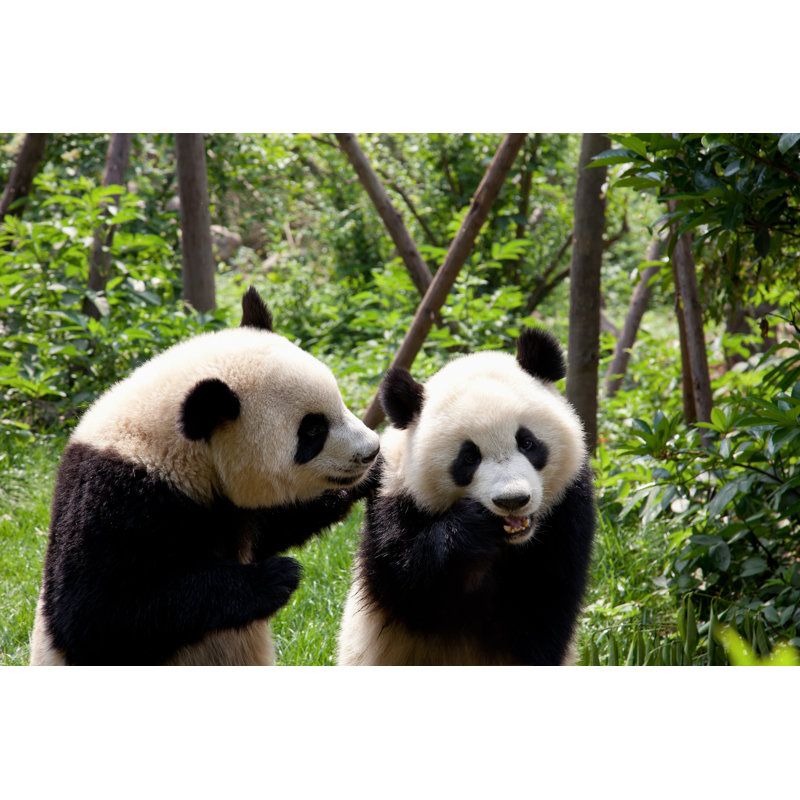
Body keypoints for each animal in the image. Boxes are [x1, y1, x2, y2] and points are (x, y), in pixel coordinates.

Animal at [30, 287, 380, 666]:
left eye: (340, 402)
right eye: (313, 430)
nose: (370, 451)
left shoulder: (228, 506)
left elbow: (274, 523)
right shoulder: (119, 498)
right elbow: (95, 616)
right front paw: (274, 577)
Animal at [336, 328, 595, 666]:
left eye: (527, 442)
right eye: (469, 458)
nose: (512, 500)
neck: (506, 545)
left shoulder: (567, 515)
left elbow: (547, 605)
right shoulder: (392, 499)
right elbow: (406, 581)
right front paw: (469, 528)